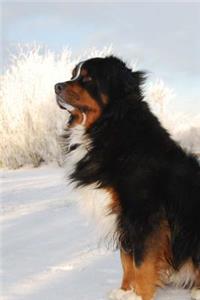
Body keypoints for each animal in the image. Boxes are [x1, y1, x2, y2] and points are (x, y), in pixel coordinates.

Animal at [54, 56, 200, 300]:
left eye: (88, 78)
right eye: (73, 74)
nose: (56, 87)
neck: (109, 128)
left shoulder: (143, 213)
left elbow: (141, 262)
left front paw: (140, 295)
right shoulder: (122, 216)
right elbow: (126, 259)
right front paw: (125, 291)